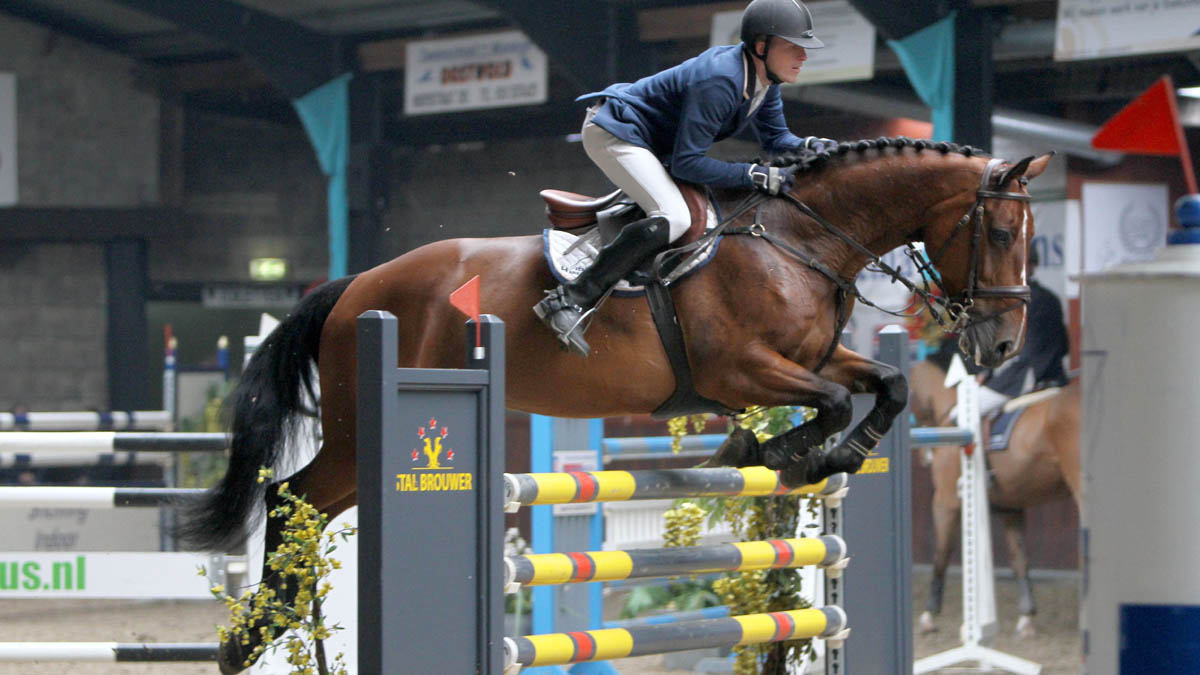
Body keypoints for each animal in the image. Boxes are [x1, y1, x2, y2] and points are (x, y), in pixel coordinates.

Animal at [180, 136, 1051, 667]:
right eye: (1002, 232)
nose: (1002, 345)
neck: (803, 240)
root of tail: (357, 286)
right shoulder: (743, 369)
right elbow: (835, 402)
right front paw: (775, 451)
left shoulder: (811, 357)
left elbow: (885, 386)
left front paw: (816, 454)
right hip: (364, 429)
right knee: (286, 494)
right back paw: (254, 635)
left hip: (358, 447)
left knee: (299, 501)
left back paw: (264, 634)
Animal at [907, 353, 1089, 634]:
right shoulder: (1011, 510)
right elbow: (1019, 559)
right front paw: (1027, 619)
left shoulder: (945, 503)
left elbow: (941, 555)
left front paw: (929, 615)